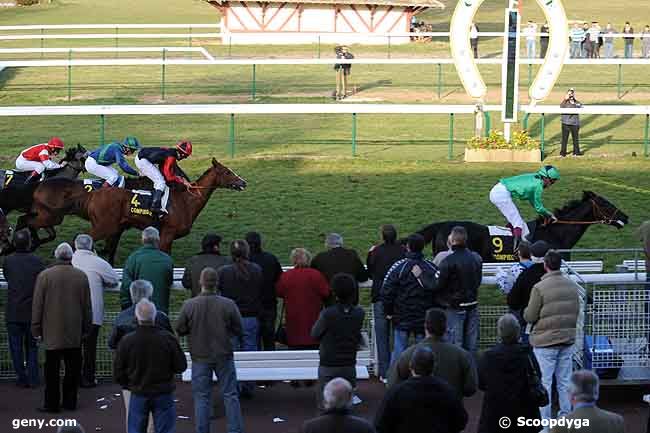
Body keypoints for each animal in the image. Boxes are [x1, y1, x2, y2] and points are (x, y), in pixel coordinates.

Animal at [23, 157, 246, 262]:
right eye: (227, 172)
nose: (243, 182)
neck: (186, 200)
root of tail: (93, 194)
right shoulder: (167, 234)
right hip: (102, 226)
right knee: (78, 239)